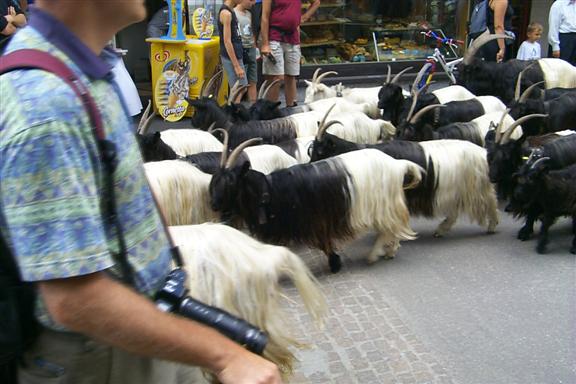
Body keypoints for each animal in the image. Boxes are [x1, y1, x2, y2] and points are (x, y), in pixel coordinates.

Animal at [208, 134, 424, 274]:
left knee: (391, 227)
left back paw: (376, 254)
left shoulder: (316, 221)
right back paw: (389, 251)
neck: (271, 190)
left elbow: (323, 243)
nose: (214, 204)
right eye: (214, 180)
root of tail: (398, 165)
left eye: (230, 182)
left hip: (384, 205)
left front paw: (335, 264)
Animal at [310, 124, 500, 237]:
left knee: (490, 201)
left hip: (475, 188)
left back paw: (492, 226)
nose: (311, 166)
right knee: (455, 212)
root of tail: (482, 154)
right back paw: (441, 230)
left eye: (320, 150)